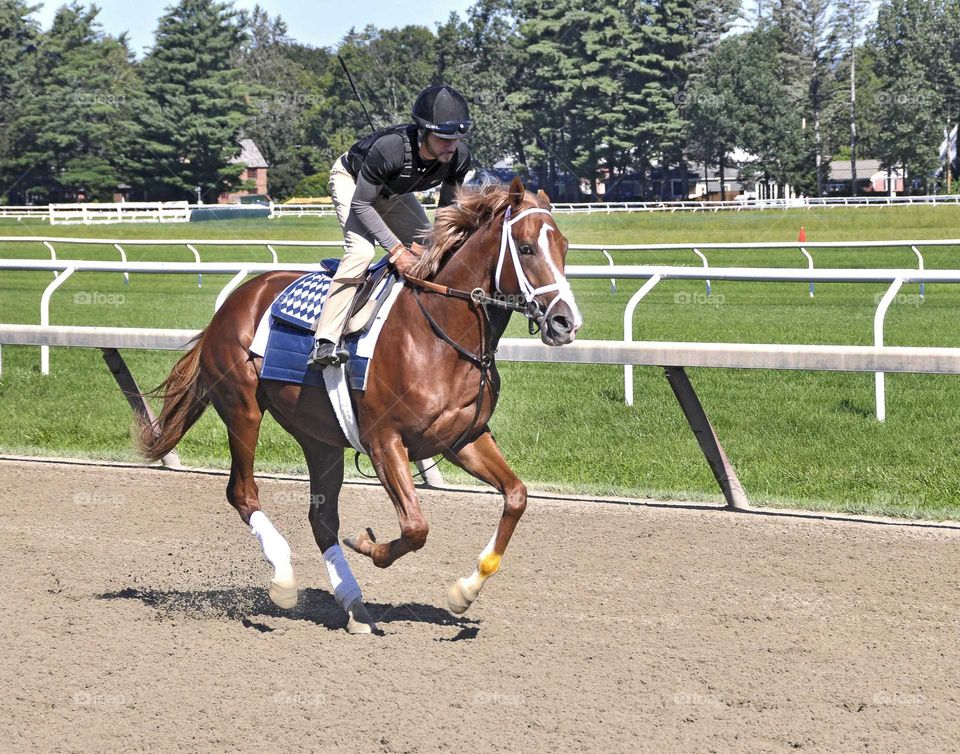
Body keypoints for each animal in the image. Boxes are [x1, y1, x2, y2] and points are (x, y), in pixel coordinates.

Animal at [138, 179, 580, 632]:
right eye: (525, 248)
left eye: (564, 246)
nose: (565, 322)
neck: (439, 336)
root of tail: (233, 303)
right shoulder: (384, 440)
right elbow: (416, 527)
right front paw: (367, 542)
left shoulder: (463, 438)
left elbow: (516, 496)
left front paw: (464, 591)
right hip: (242, 409)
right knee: (243, 493)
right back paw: (284, 582)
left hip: (320, 437)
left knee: (321, 519)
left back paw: (352, 604)